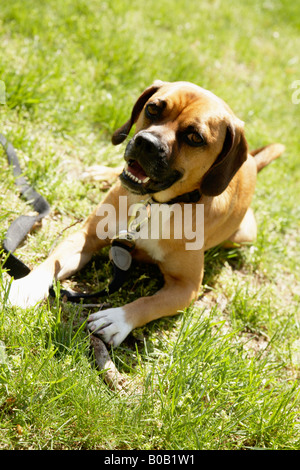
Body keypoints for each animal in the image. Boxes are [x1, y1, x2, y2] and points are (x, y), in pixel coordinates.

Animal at [6, 80, 284, 346]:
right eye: (153, 108)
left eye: (195, 137)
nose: (146, 143)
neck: (157, 204)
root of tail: (252, 161)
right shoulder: (85, 238)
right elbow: (51, 262)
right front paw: (27, 286)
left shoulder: (186, 287)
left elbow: (149, 303)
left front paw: (117, 319)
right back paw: (101, 174)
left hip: (243, 236)